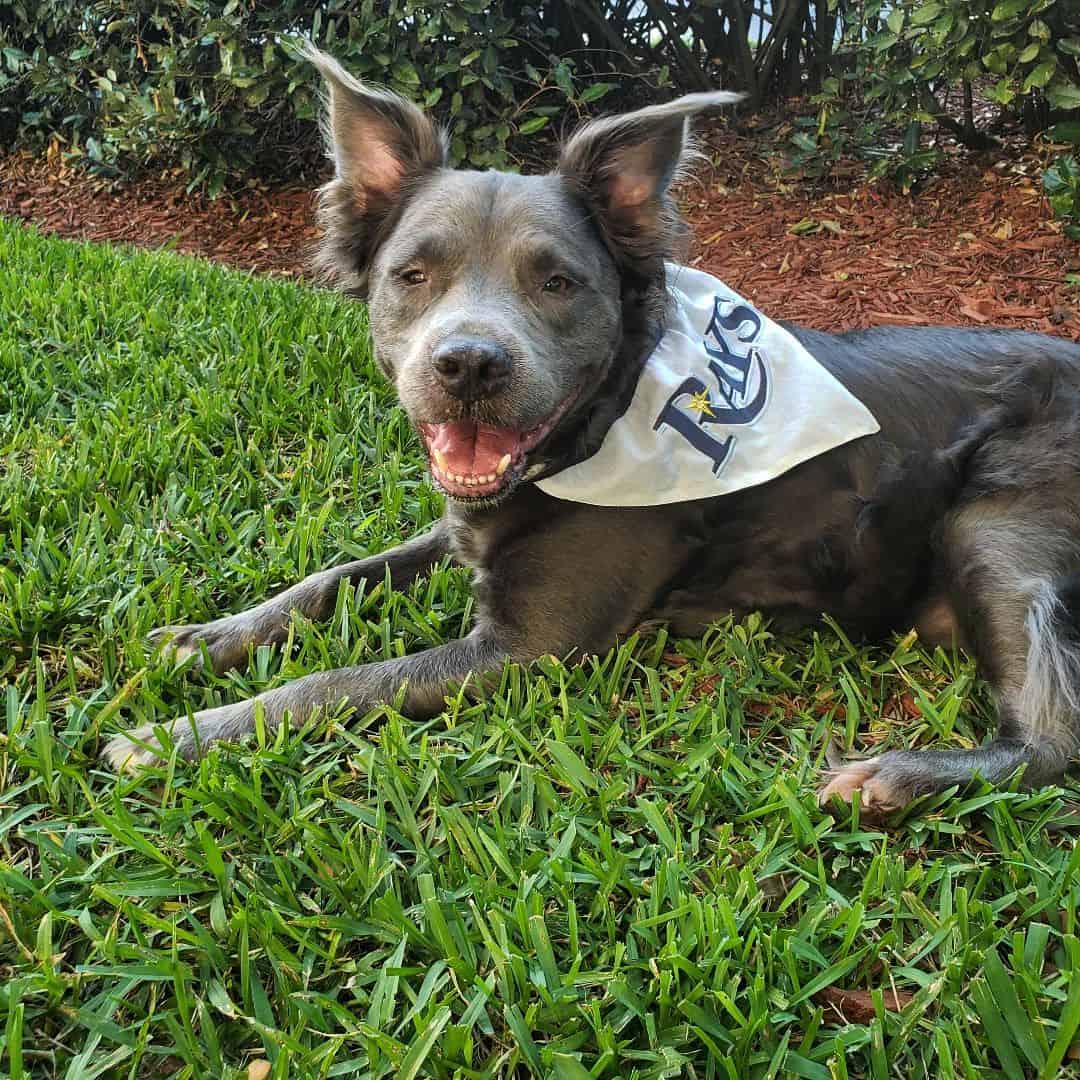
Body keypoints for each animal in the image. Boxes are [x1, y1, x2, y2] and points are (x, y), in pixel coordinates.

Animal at [105, 46, 1080, 812]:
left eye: (558, 282)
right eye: (412, 275)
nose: (468, 366)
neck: (603, 422)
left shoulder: (522, 651)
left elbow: (332, 683)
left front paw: (179, 735)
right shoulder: (462, 529)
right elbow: (329, 580)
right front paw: (209, 639)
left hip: (993, 526)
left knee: (1053, 741)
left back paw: (898, 778)